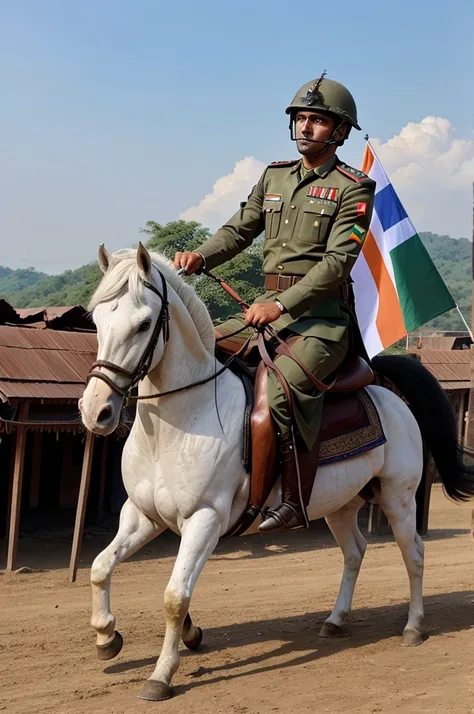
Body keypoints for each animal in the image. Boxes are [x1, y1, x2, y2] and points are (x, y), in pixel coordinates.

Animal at [79, 242, 472, 700]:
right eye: (96, 320)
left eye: (143, 324)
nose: (96, 411)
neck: (179, 423)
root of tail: (385, 389)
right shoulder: (142, 515)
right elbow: (100, 567)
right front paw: (107, 637)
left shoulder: (204, 520)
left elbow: (175, 596)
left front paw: (161, 674)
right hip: (339, 505)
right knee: (355, 551)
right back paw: (335, 620)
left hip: (398, 499)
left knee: (414, 554)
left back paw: (413, 627)